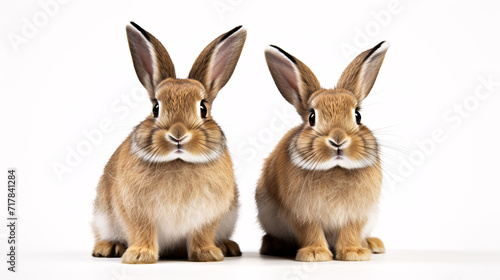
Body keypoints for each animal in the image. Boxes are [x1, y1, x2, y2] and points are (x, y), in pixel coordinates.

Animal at [91, 22, 246, 264]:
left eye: (203, 108)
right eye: (155, 108)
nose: (178, 134)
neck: (178, 162)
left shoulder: (208, 216)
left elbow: (202, 233)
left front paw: (207, 254)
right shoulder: (135, 212)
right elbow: (141, 231)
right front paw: (139, 256)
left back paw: (226, 246)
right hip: (102, 217)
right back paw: (108, 247)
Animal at [256, 41, 388, 262]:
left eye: (358, 115)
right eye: (312, 117)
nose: (338, 140)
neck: (335, 168)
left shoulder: (357, 214)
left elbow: (351, 231)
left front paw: (354, 253)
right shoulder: (303, 214)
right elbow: (311, 231)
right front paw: (315, 254)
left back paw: (372, 244)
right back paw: (277, 246)